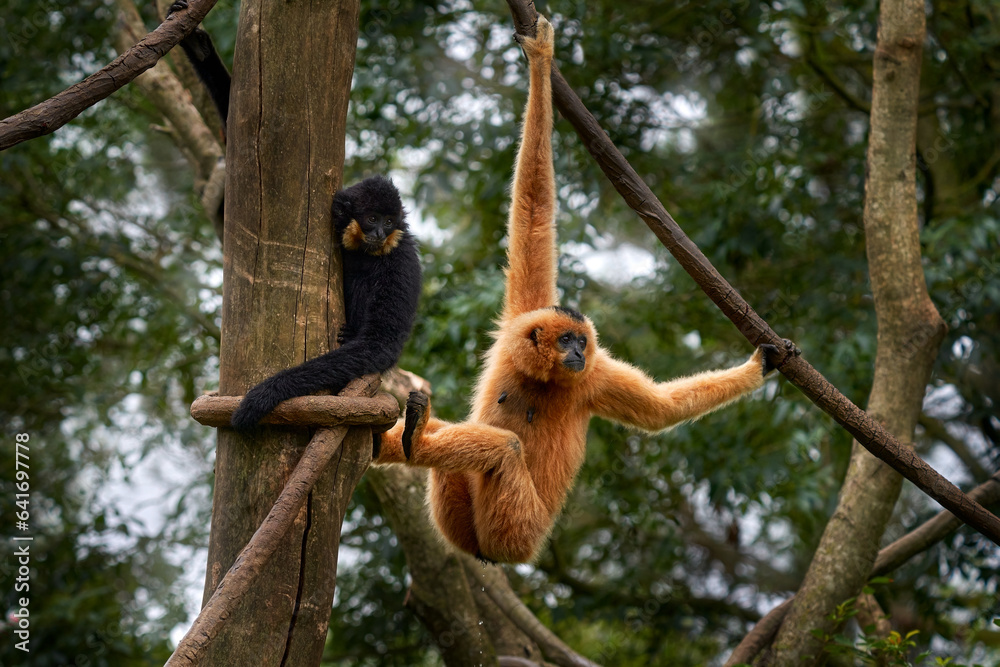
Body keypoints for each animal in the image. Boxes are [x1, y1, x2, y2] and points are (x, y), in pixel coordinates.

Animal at [230, 175, 422, 430]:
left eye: (389, 221)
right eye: (373, 218)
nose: (381, 233)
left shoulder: (401, 260)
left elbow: (382, 342)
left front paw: (267, 392)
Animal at [371, 16, 798, 564]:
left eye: (581, 343)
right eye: (567, 340)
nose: (576, 351)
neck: (544, 378)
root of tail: (490, 554)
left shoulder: (593, 376)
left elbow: (660, 410)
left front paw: (760, 365)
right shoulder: (516, 328)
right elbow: (533, 216)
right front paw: (540, 64)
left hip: (517, 529)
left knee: (503, 450)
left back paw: (416, 436)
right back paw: (407, 436)